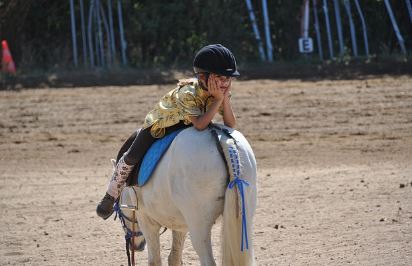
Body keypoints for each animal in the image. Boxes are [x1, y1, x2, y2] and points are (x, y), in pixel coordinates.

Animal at [117, 125, 256, 266]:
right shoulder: (181, 225)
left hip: (199, 227)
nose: (136, 247)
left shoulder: (146, 220)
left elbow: (155, 261)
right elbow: (174, 258)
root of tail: (223, 140)